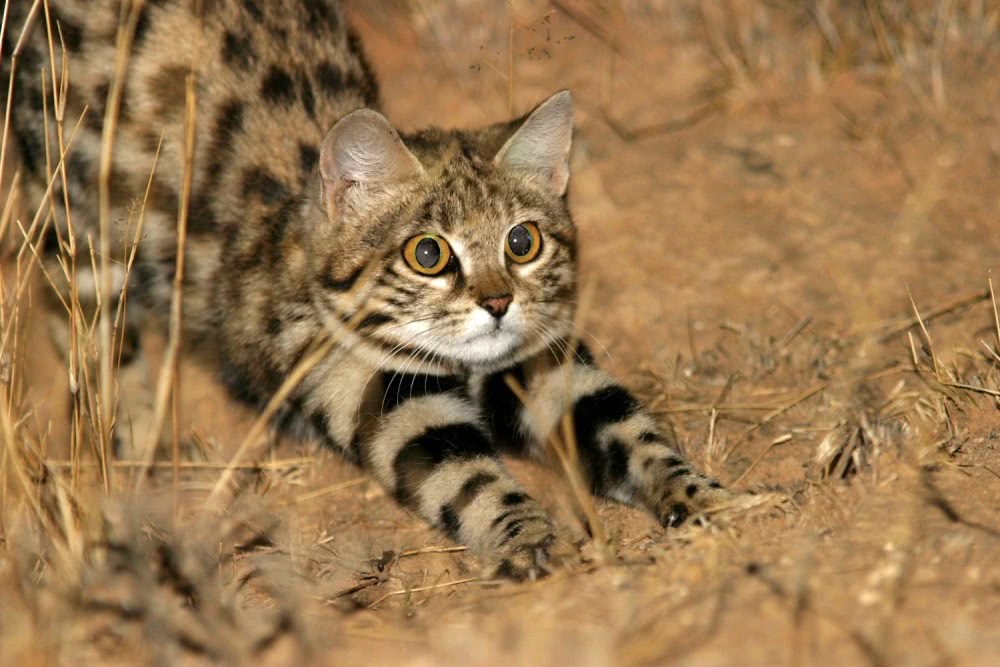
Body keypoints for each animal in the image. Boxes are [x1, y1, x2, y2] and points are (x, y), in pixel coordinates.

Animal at [3, 1, 732, 580]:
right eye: (427, 254)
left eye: (522, 242)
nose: (498, 303)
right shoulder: (362, 380)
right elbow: (470, 476)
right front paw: (525, 535)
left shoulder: (538, 360)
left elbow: (632, 431)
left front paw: (703, 495)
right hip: (75, 196)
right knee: (83, 315)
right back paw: (134, 428)